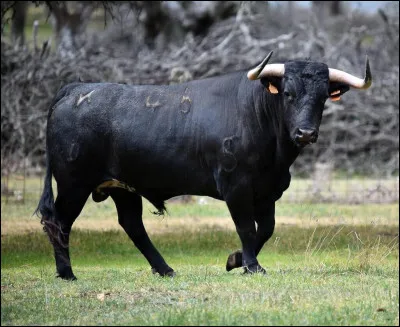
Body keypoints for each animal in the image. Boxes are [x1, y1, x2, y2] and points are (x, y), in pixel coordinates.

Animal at [35, 52, 372, 280]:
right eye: (288, 94)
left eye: (323, 98)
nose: (305, 133)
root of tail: (75, 90)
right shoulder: (236, 187)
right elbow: (246, 228)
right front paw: (251, 265)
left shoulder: (267, 192)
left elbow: (266, 229)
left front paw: (236, 260)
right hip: (73, 183)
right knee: (59, 222)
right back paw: (67, 273)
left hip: (123, 187)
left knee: (132, 225)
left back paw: (165, 269)